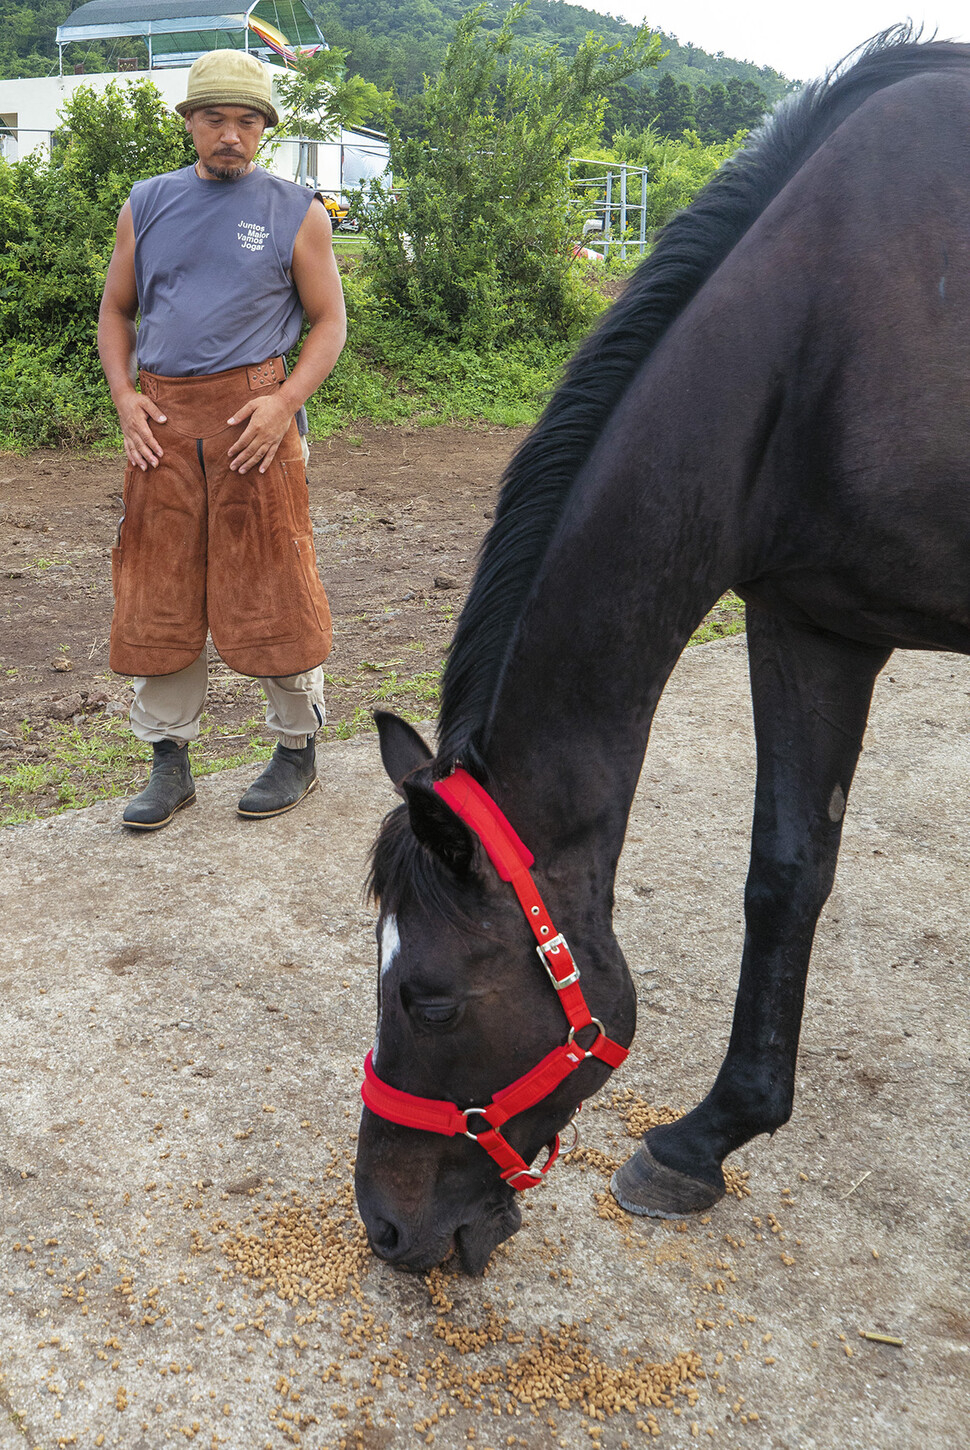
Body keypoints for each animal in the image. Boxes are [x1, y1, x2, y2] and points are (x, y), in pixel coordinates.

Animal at [354, 30, 970, 1275]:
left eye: (429, 998)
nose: (385, 1226)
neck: (834, 328)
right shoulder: (813, 624)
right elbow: (786, 874)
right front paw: (705, 1139)